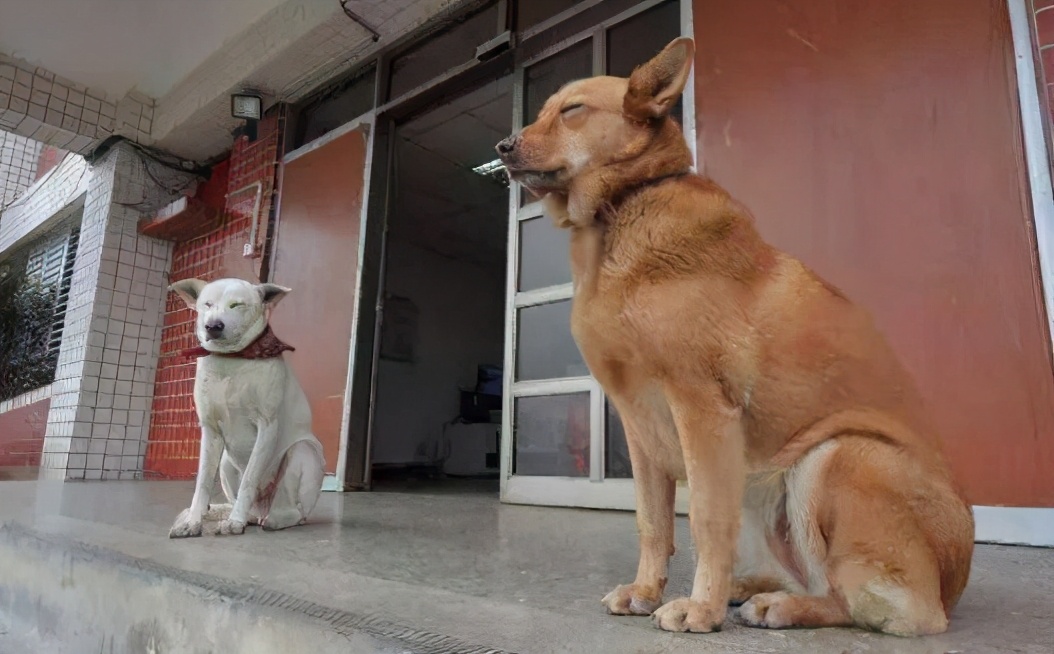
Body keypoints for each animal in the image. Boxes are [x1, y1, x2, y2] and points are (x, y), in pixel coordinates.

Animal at [166, 276, 322, 535]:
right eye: (207, 304)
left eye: (237, 305)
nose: (213, 326)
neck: (232, 359)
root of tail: (260, 510)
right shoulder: (210, 430)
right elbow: (202, 482)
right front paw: (193, 521)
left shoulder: (267, 427)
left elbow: (249, 478)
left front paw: (235, 521)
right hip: (226, 464)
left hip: (303, 452)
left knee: (293, 510)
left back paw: (272, 519)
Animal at [497, 38, 973, 637]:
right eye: (542, 111)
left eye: (572, 110)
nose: (502, 146)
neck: (621, 208)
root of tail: (953, 587)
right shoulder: (638, 425)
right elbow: (652, 521)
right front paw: (647, 591)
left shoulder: (702, 411)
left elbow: (704, 520)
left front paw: (700, 609)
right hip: (758, 481)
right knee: (818, 580)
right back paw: (755, 590)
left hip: (834, 456)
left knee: (879, 604)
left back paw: (777, 606)